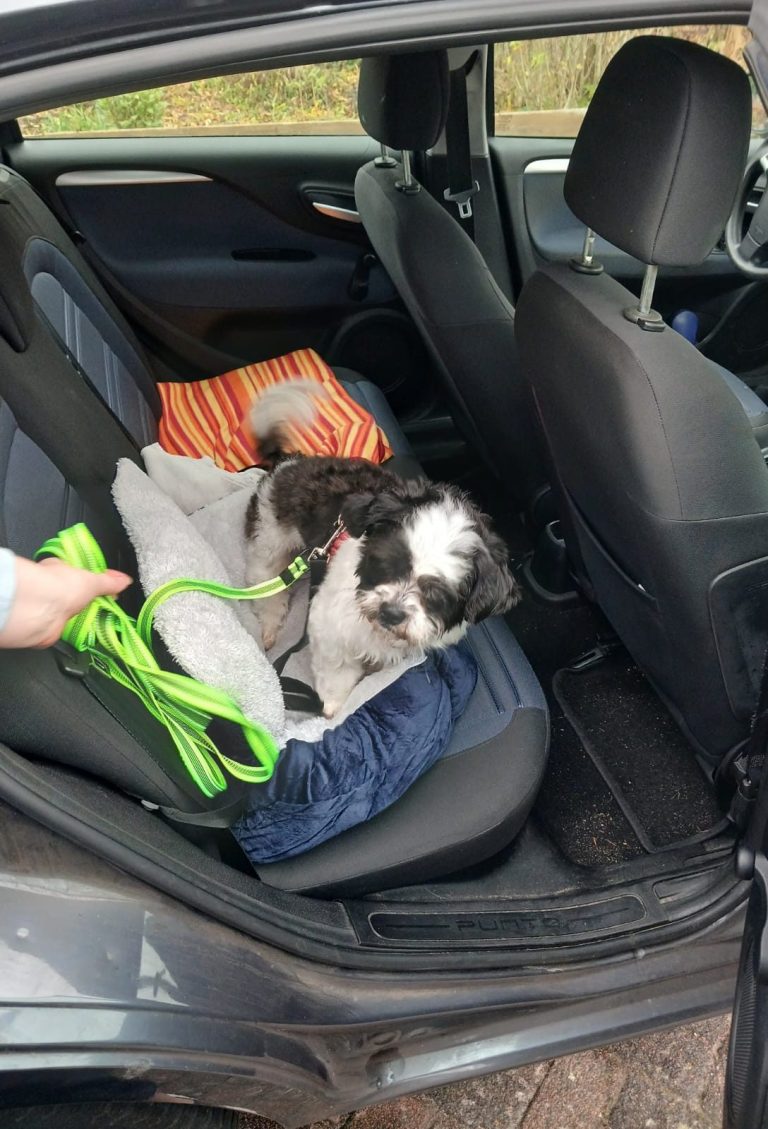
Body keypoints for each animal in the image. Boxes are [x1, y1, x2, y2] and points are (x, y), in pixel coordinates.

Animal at [244, 381, 521, 717]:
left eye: (437, 594)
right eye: (385, 564)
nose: (392, 612)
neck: (377, 630)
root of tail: (288, 461)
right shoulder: (330, 629)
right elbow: (336, 674)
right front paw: (333, 709)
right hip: (269, 540)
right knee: (265, 584)